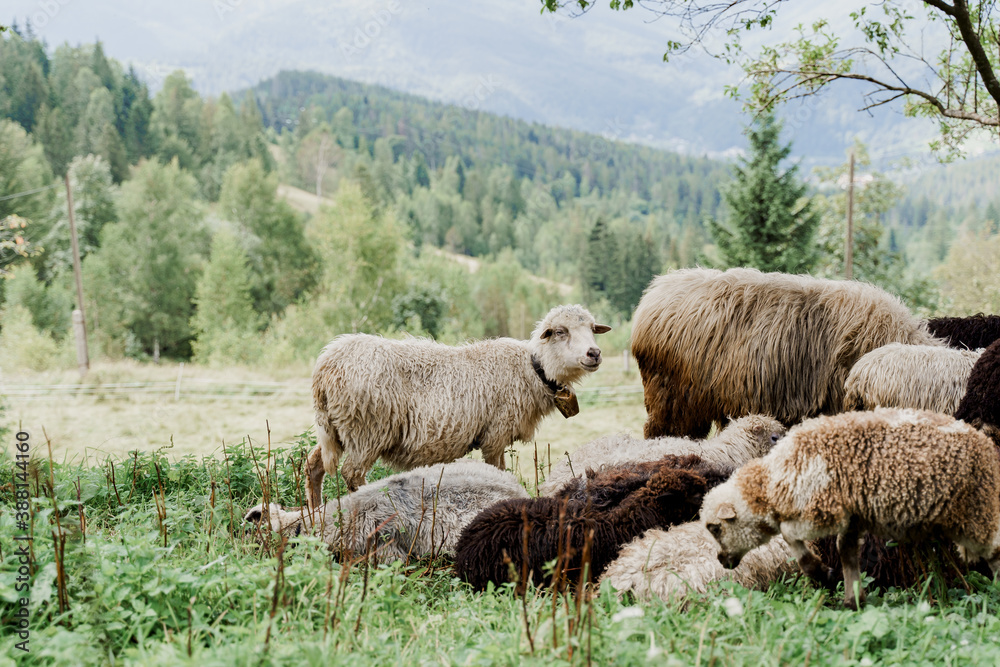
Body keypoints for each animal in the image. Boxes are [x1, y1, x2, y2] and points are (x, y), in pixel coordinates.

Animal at [305, 304, 610, 507]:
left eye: (592, 329)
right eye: (560, 331)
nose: (594, 353)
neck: (533, 369)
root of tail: (325, 365)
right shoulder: (495, 434)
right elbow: (499, 471)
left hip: (336, 428)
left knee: (313, 465)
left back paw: (315, 512)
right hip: (367, 429)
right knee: (351, 473)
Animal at [700, 408, 1000, 609]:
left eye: (715, 528)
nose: (721, 561)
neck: (777, 479)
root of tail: (985, 443)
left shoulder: (823, 509)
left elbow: (789, 535)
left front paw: (821, 573)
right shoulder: (851, 517)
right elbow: (845, 551)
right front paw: (852, 598)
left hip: (978, 510)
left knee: (994, 549)